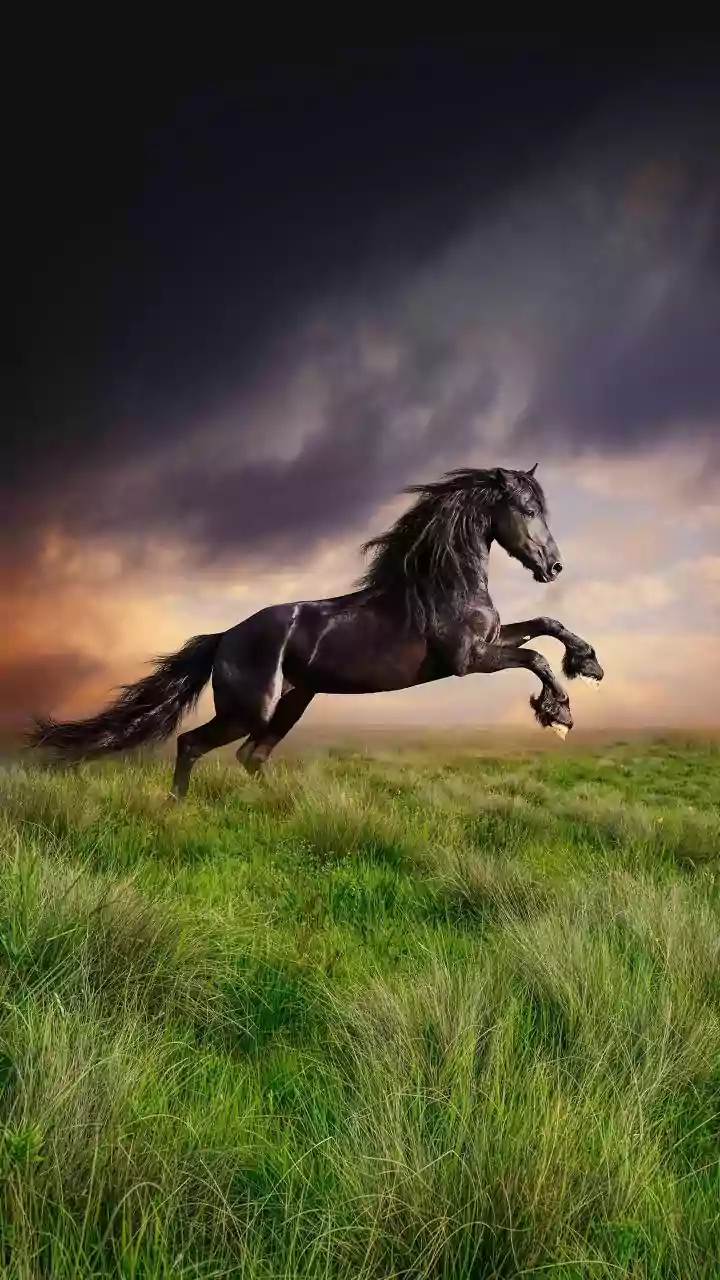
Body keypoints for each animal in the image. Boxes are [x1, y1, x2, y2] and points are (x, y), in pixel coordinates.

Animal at [28, 464, 604, 799]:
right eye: (527, 509)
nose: (554, 567)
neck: (441, 584)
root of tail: (224, 637)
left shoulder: (490, 640)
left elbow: (545, 626)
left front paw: (589, 664)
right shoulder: (468, 659)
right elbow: (535, 658)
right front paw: (558, 714)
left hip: (294, 701)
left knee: (251, 756)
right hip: (250, 708)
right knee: (194, 744)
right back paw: (178, 807)